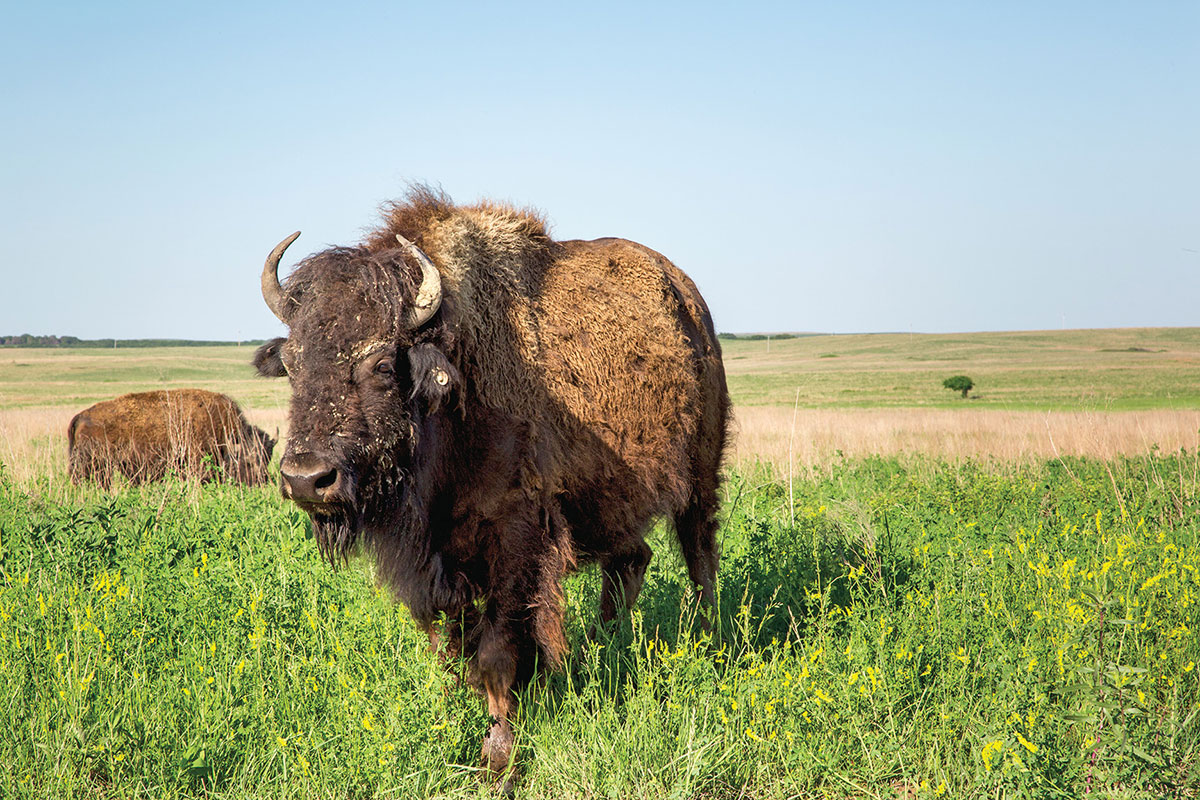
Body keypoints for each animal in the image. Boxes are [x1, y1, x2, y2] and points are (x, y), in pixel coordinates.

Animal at [253, 188, 729, 782]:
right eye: (292, 363)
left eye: (383, 364)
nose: (306, 479)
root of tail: (689, 299)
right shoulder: (438, 562)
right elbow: (454, 646)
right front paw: (459, 724)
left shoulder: (516, 539)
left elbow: (497, 650)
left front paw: (498, 757)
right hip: (609, 502)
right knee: (631, 560)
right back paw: (602, 651)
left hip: (701, 475)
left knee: (699, 554)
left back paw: (707, 642)